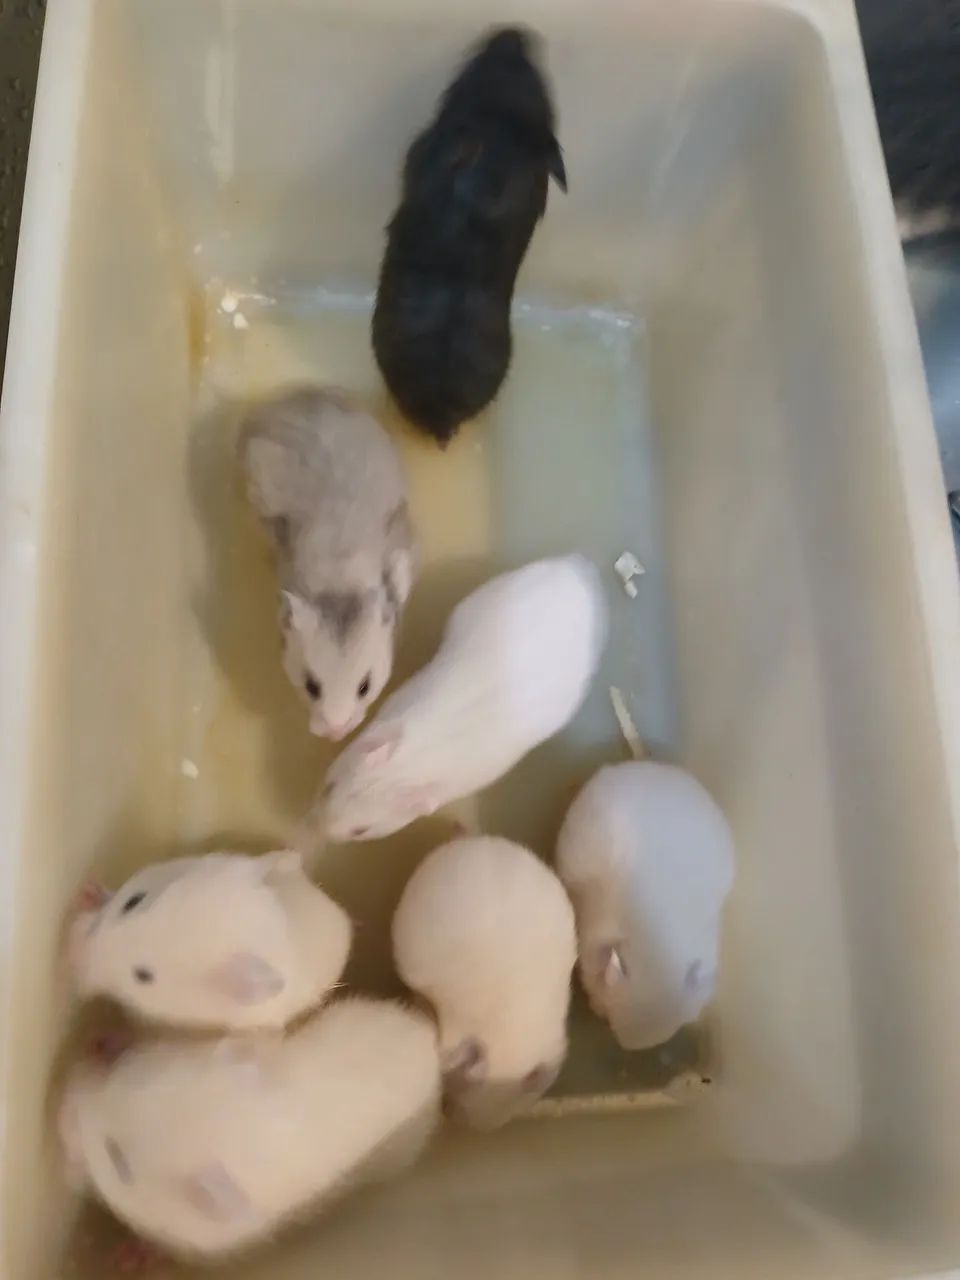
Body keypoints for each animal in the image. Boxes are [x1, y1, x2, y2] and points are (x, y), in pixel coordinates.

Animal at [59, 997, 441, 1262]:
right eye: (131, 1079)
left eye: (118, 1161)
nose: (62, 1107)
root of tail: (430, 1039)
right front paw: (104, 1043)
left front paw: (129, 1256)